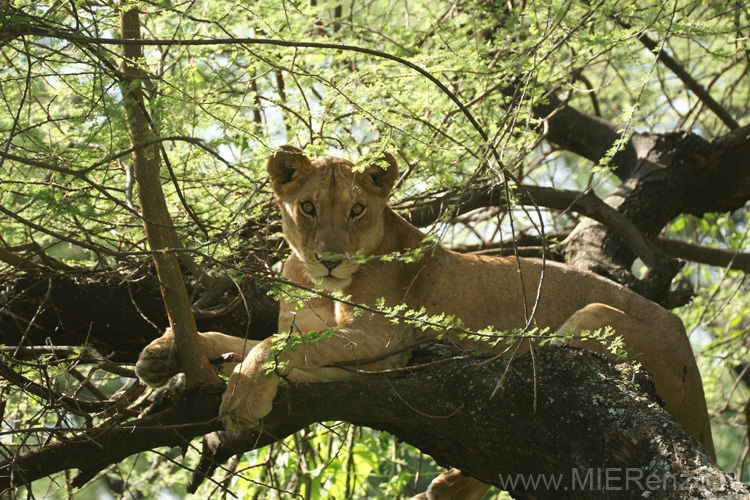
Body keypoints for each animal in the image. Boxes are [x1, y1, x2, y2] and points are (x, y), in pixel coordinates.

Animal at [135, 145, 716, 500]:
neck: (319, 282)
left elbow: (276, 346)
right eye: (308, 207)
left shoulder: (383, 338)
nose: (330, 259)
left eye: (356, 210)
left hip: (590, 319)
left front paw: (245, 392)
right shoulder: (306, 322)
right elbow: (248, 337)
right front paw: (164, 353)